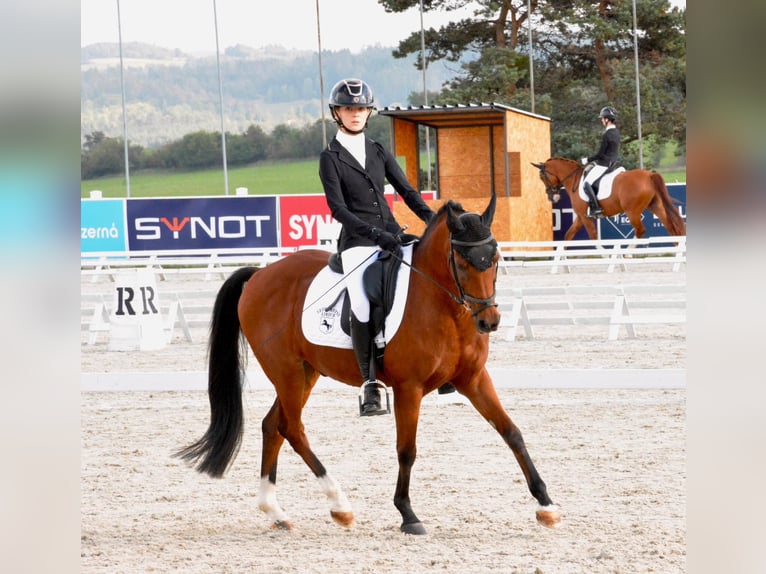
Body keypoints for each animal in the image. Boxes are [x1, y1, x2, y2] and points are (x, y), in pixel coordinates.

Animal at [175, 194, 561, 535]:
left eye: (494, 259)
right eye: (463, 262)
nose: (490, 322)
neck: (445, 307)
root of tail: (259, 275)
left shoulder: (475, 379)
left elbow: (511, 432)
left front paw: (546, 506)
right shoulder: (409, 387)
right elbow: (407, 450)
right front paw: (407, 515)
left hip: (305, 373)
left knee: (273, 426)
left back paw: (277, 512)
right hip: (287, 372)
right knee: (292, 429)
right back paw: (339, 505)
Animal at [532, 157, 686, 240]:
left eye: (542, 177)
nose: (552, 197)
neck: (574, 179)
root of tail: (649, 175)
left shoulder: (585, 216)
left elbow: (594, 237)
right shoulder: (581, 216)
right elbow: (568, 235)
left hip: (632, 212)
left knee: (641, 230)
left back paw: (627, 254)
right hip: (655, 206)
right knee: (671, 227)